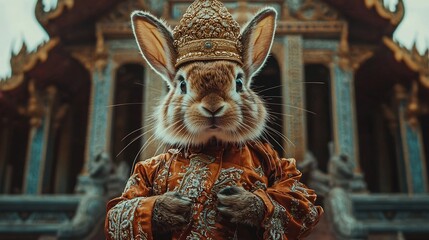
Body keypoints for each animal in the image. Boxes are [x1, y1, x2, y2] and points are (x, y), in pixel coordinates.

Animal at [106, 0, 320, 239]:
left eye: (239, 82)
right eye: (182, 84)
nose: (213, 107)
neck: (212, 146)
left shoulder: (283, 171)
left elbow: (298, 193)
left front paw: (240, 203)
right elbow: (121, 206)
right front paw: (173, 207)